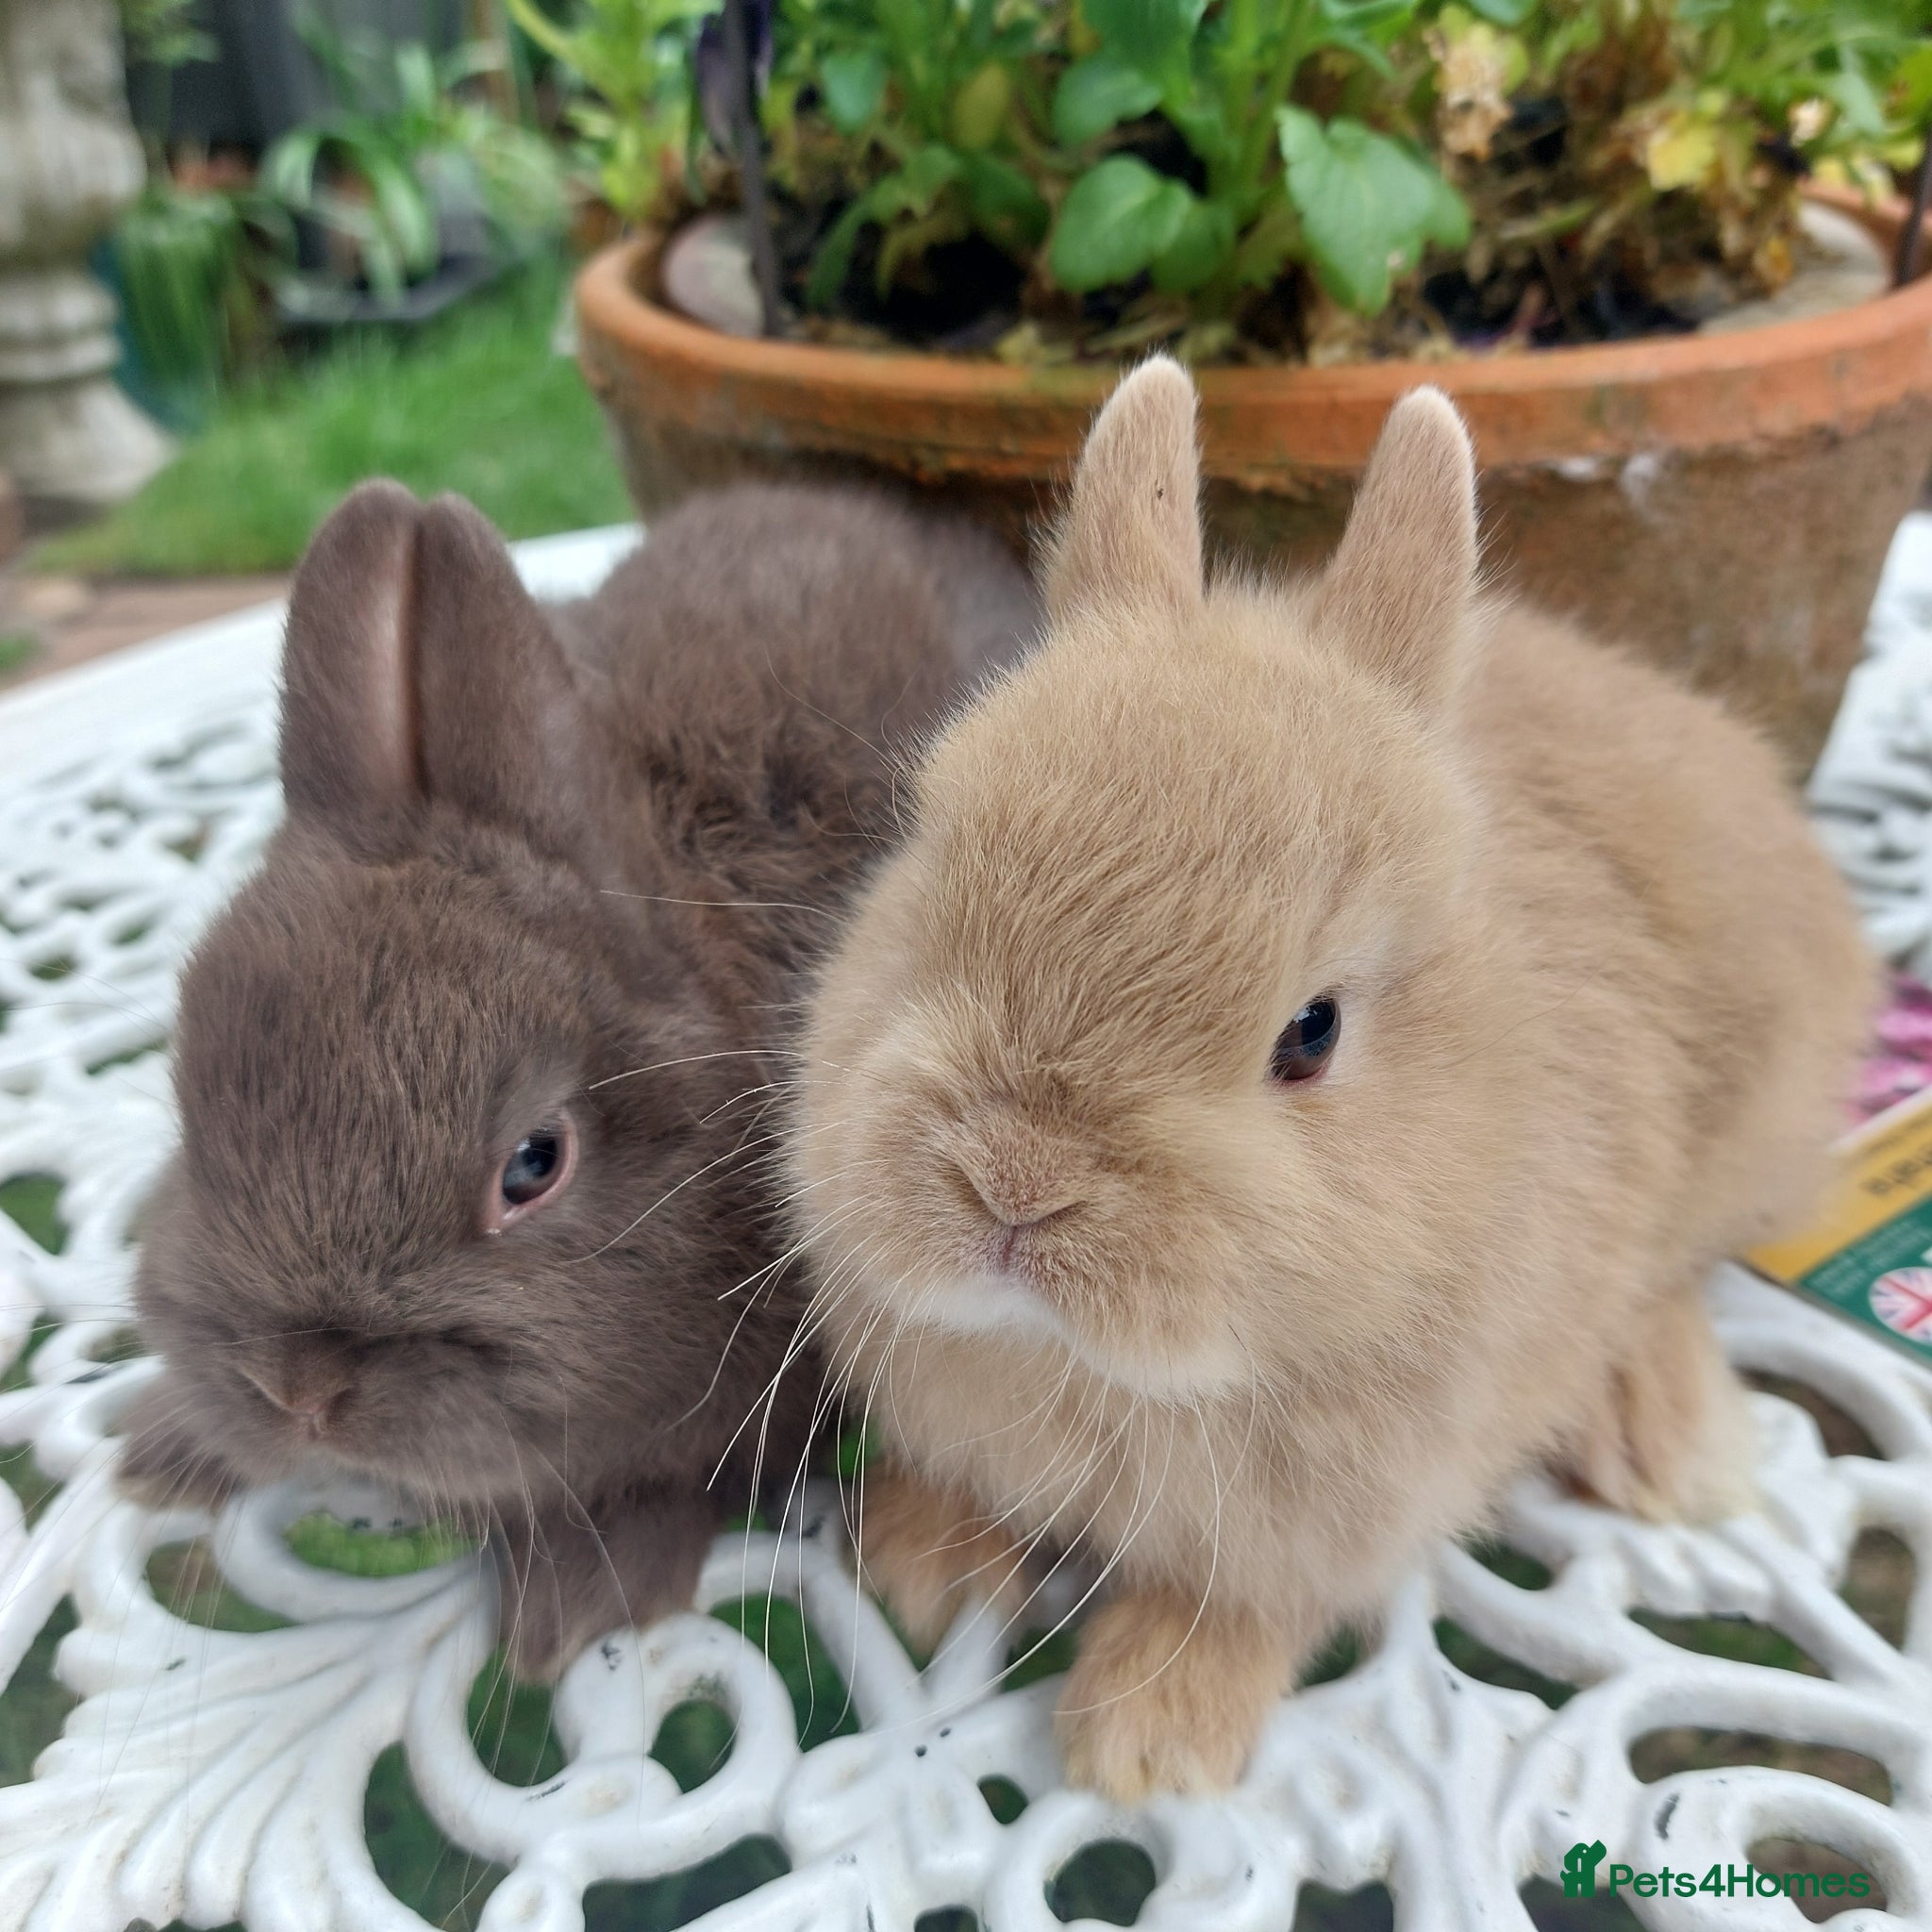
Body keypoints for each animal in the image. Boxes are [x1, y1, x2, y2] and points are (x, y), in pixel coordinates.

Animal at [785, 359, 1874, 1801]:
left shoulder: (1349, 1508)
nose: (1013, 1182)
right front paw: (925, 1572)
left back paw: (1660, 1437)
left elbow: (1250, 1603)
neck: (1099, 1372)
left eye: (1310, 1031)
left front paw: (1151, 1737)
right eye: (923, 872)